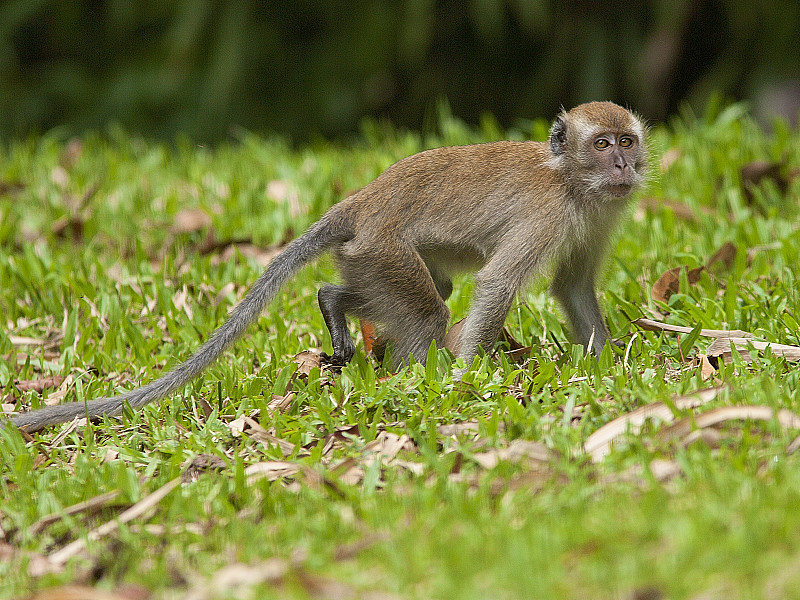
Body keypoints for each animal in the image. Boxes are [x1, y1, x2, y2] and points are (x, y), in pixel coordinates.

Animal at [6, 101, 648, 434]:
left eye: (627, 141)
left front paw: (606, 360)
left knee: (425, 287)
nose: (623, 165)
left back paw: (334, 303)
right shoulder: (547, 213)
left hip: (369, 254)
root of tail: (361, 201)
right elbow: (497, 282)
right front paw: (469, 377)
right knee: (428, 312)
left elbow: (571, 285)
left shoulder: (598, 215)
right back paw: (407, 372)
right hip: (382, 246)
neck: (572, 181)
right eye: (602, 144)